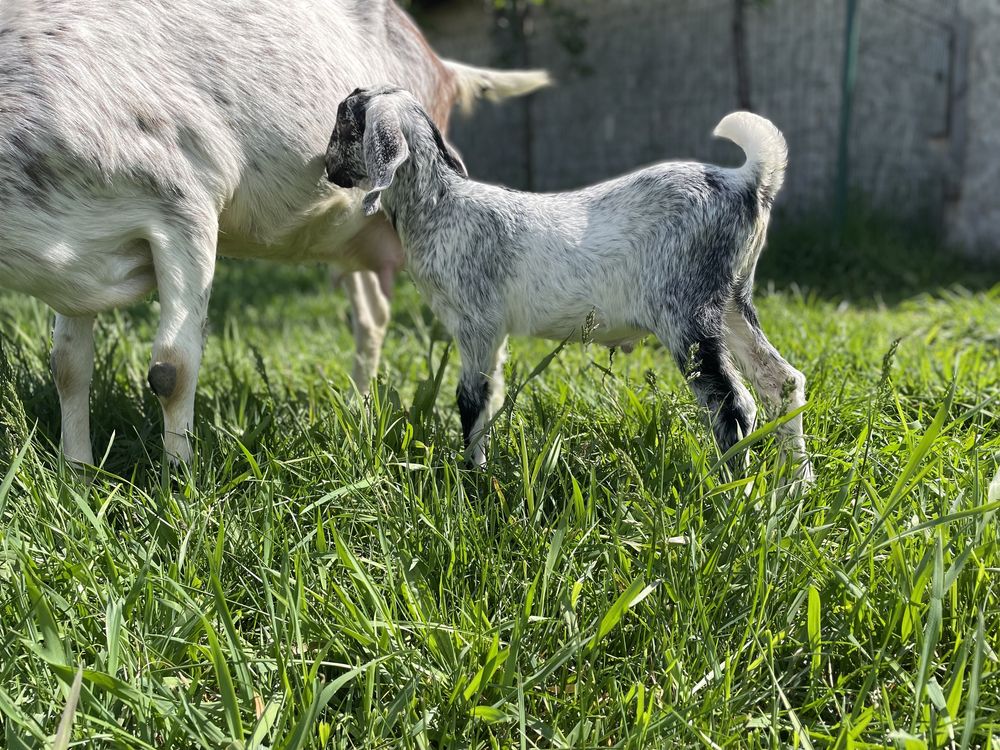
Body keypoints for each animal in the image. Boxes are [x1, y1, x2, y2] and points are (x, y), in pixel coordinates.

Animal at [0, 0, 548, 468]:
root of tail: (443, 66)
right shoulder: (80, 257)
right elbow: (68, 367)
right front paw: (78, 474)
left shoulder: (185, 209)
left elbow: (171, 369)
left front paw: (179, 485)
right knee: (372, 316)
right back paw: (358, 409)